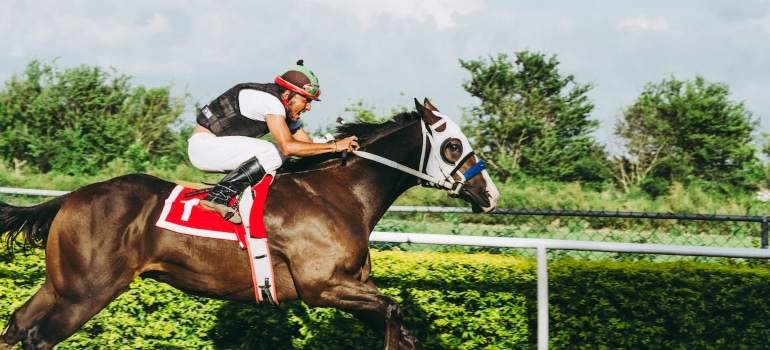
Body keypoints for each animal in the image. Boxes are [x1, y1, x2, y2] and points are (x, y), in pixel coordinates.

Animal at [0, 98, 498, 350]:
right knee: (38, 337)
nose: (490, 194)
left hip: (61, 284)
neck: (340, 193)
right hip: (88, 292)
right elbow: (395, 312)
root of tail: (70, 197)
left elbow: (401, 325)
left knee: (18, 324)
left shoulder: (353, 287)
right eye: (453, 145)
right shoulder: (322, 286)